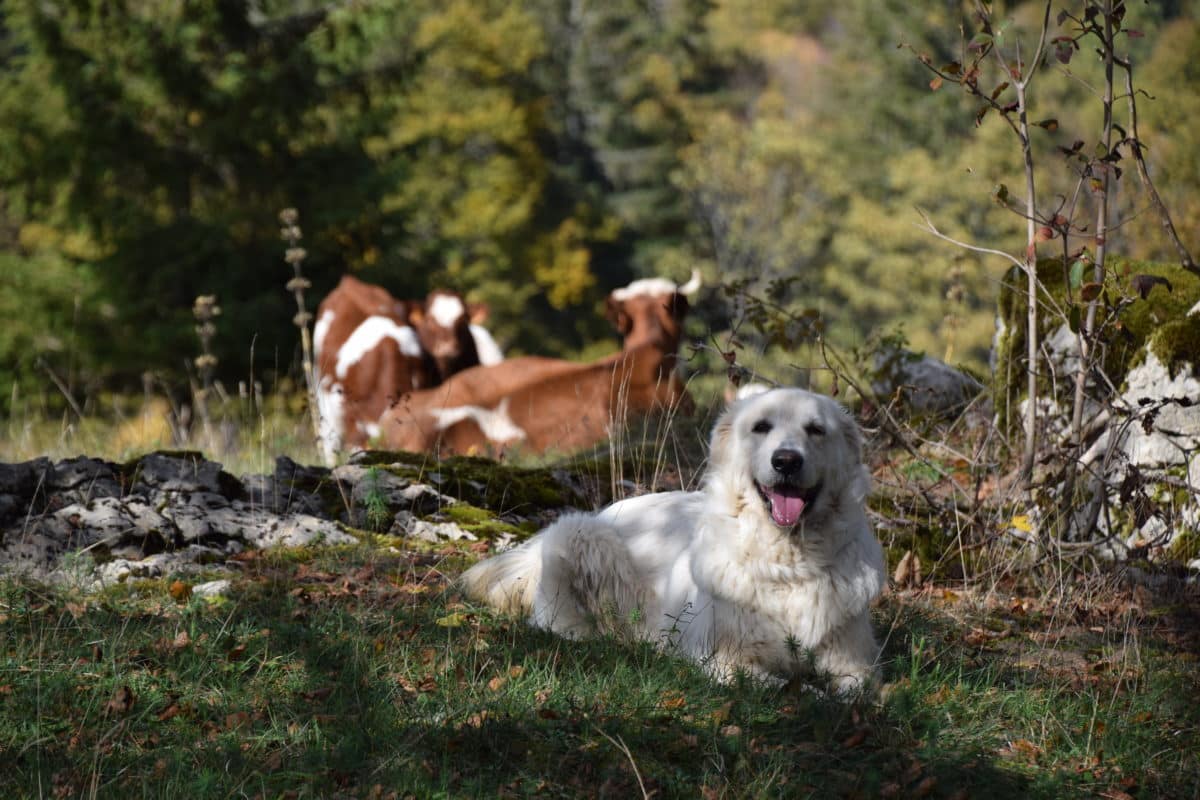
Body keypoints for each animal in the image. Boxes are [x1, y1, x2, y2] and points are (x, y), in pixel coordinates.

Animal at [456, 388, 883, 690]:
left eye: (816, 430)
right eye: (762, 427)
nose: (787, 461)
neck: (789, 564)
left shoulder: (855, 661)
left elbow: (856, 689)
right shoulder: (718, 660)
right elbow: (786, 687)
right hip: (578, 533)